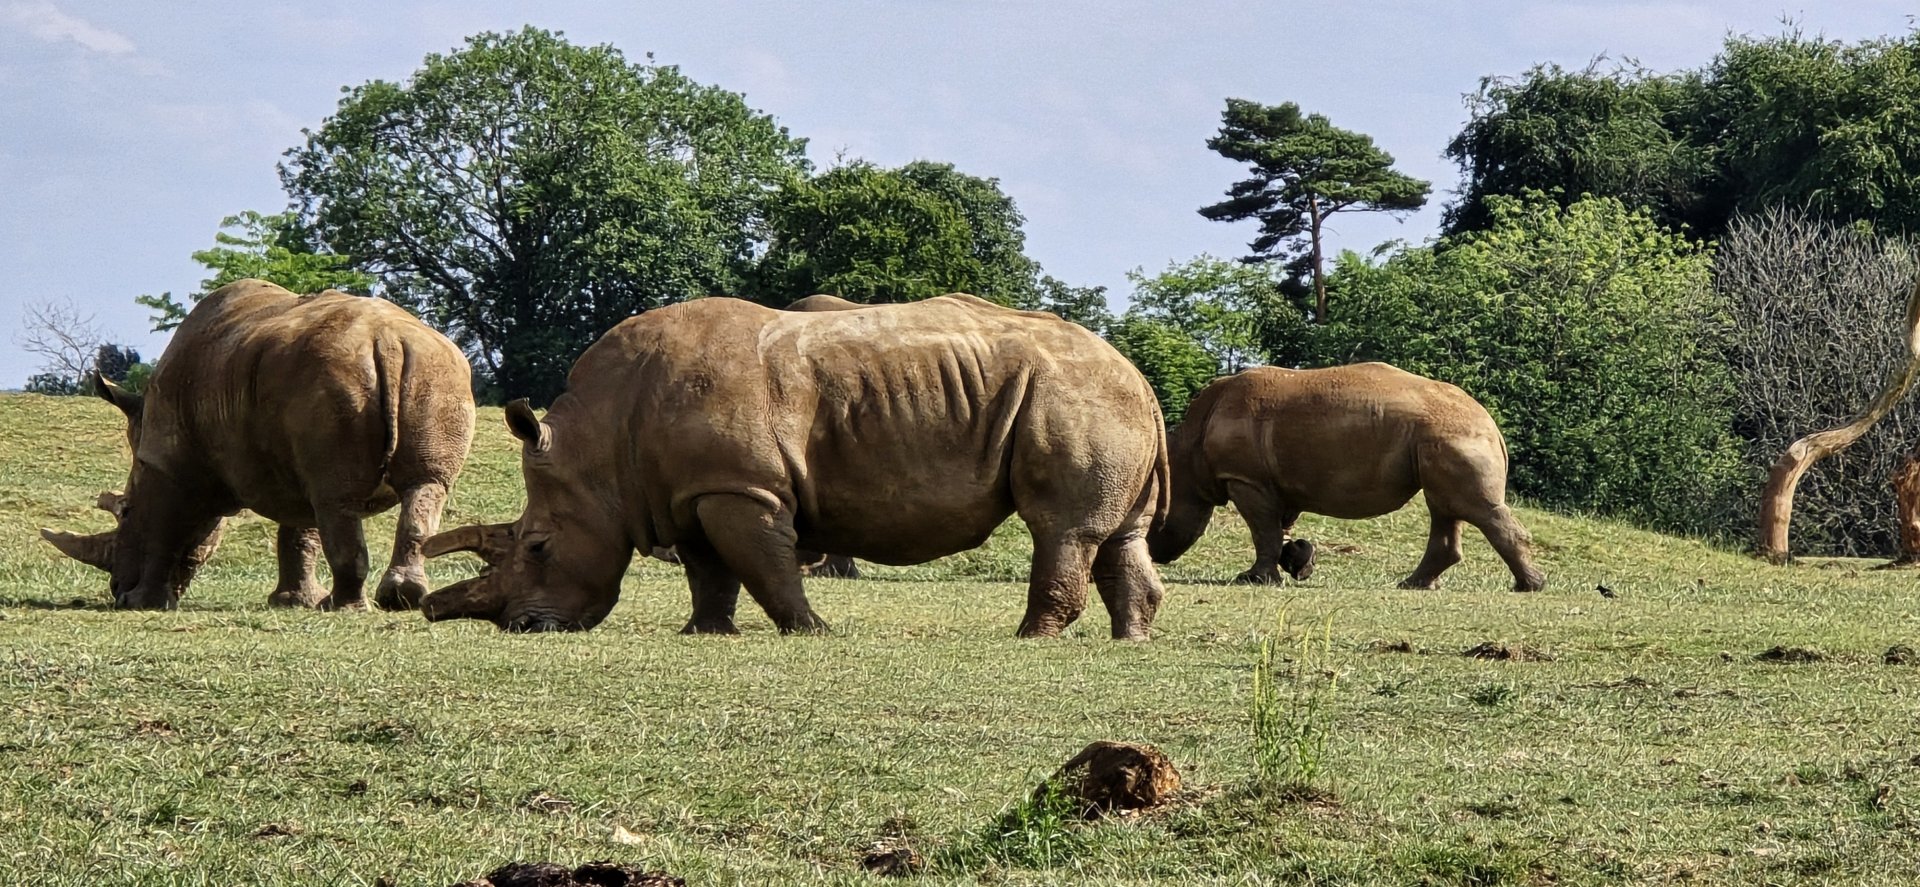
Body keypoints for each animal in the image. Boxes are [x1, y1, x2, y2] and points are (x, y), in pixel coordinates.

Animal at [41, 279, 476, 611]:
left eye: (125, 512)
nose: (116, 591)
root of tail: (387, 341)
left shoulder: (168, 466)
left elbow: (164, 530)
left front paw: (144, 604)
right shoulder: (291, 455)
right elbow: (300, 529)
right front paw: (294, 603)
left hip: (337, 381)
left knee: (339, 501)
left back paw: (345, 608)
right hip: (433, 374)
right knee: (423, 486)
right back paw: (398, 600)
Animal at [421, 294, 1170, 638]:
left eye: (538, 547)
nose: (523, 626)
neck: (602, 448)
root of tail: (1138, 373)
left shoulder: (742, 487)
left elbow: (764, 564)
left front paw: (811, 631)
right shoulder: (695, 489)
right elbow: (709, 570)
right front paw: (705, 633)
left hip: (1072, 393)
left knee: (1061, 528)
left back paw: (1027, 638)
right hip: (1102, 400)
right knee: (1119, 535)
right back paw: (1128, 640)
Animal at [1147, 363, 1545, 591]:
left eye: (1156, 522)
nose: (1156, 554)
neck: (1186, 449)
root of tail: (1492, 424)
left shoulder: (1246, 479)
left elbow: (1263, 530)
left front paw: (1253, 579)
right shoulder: (1272, 482)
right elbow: (1278, 529)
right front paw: (1301, 564)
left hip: (1452, 435)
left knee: (1470, 507)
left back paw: (1529, 587)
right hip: (1443, 437)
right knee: (1445, 508)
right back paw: (1414, 585)